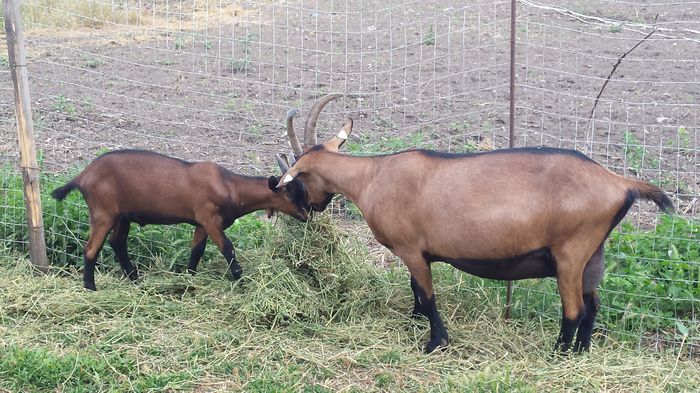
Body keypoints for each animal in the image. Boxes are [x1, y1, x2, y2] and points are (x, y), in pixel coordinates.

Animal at [52, 149, 308, 290]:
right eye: (289, 191)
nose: (306, 215)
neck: (228, 185)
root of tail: (83, 174)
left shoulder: (202, 224)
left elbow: (196, 251)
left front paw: (189, 279)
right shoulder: (210, 219)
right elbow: (228, 248)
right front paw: (242, 282)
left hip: (123, 216)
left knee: (118, 243)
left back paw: (135, 279)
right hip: (103, 213)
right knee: (92, 248)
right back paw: (90, 287)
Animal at [274, 95, 672, 352]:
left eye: (298, 176)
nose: (311, 208)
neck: (373, 177)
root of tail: (620, 183)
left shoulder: (410, 249)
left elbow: (428, 294)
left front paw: (435, 342)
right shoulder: (418, 253)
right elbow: (415, 289)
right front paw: (414, 321)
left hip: (570, 254)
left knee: (574, 310)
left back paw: (558, 353)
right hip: (593, 254)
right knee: (593, 306)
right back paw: (581, 352)